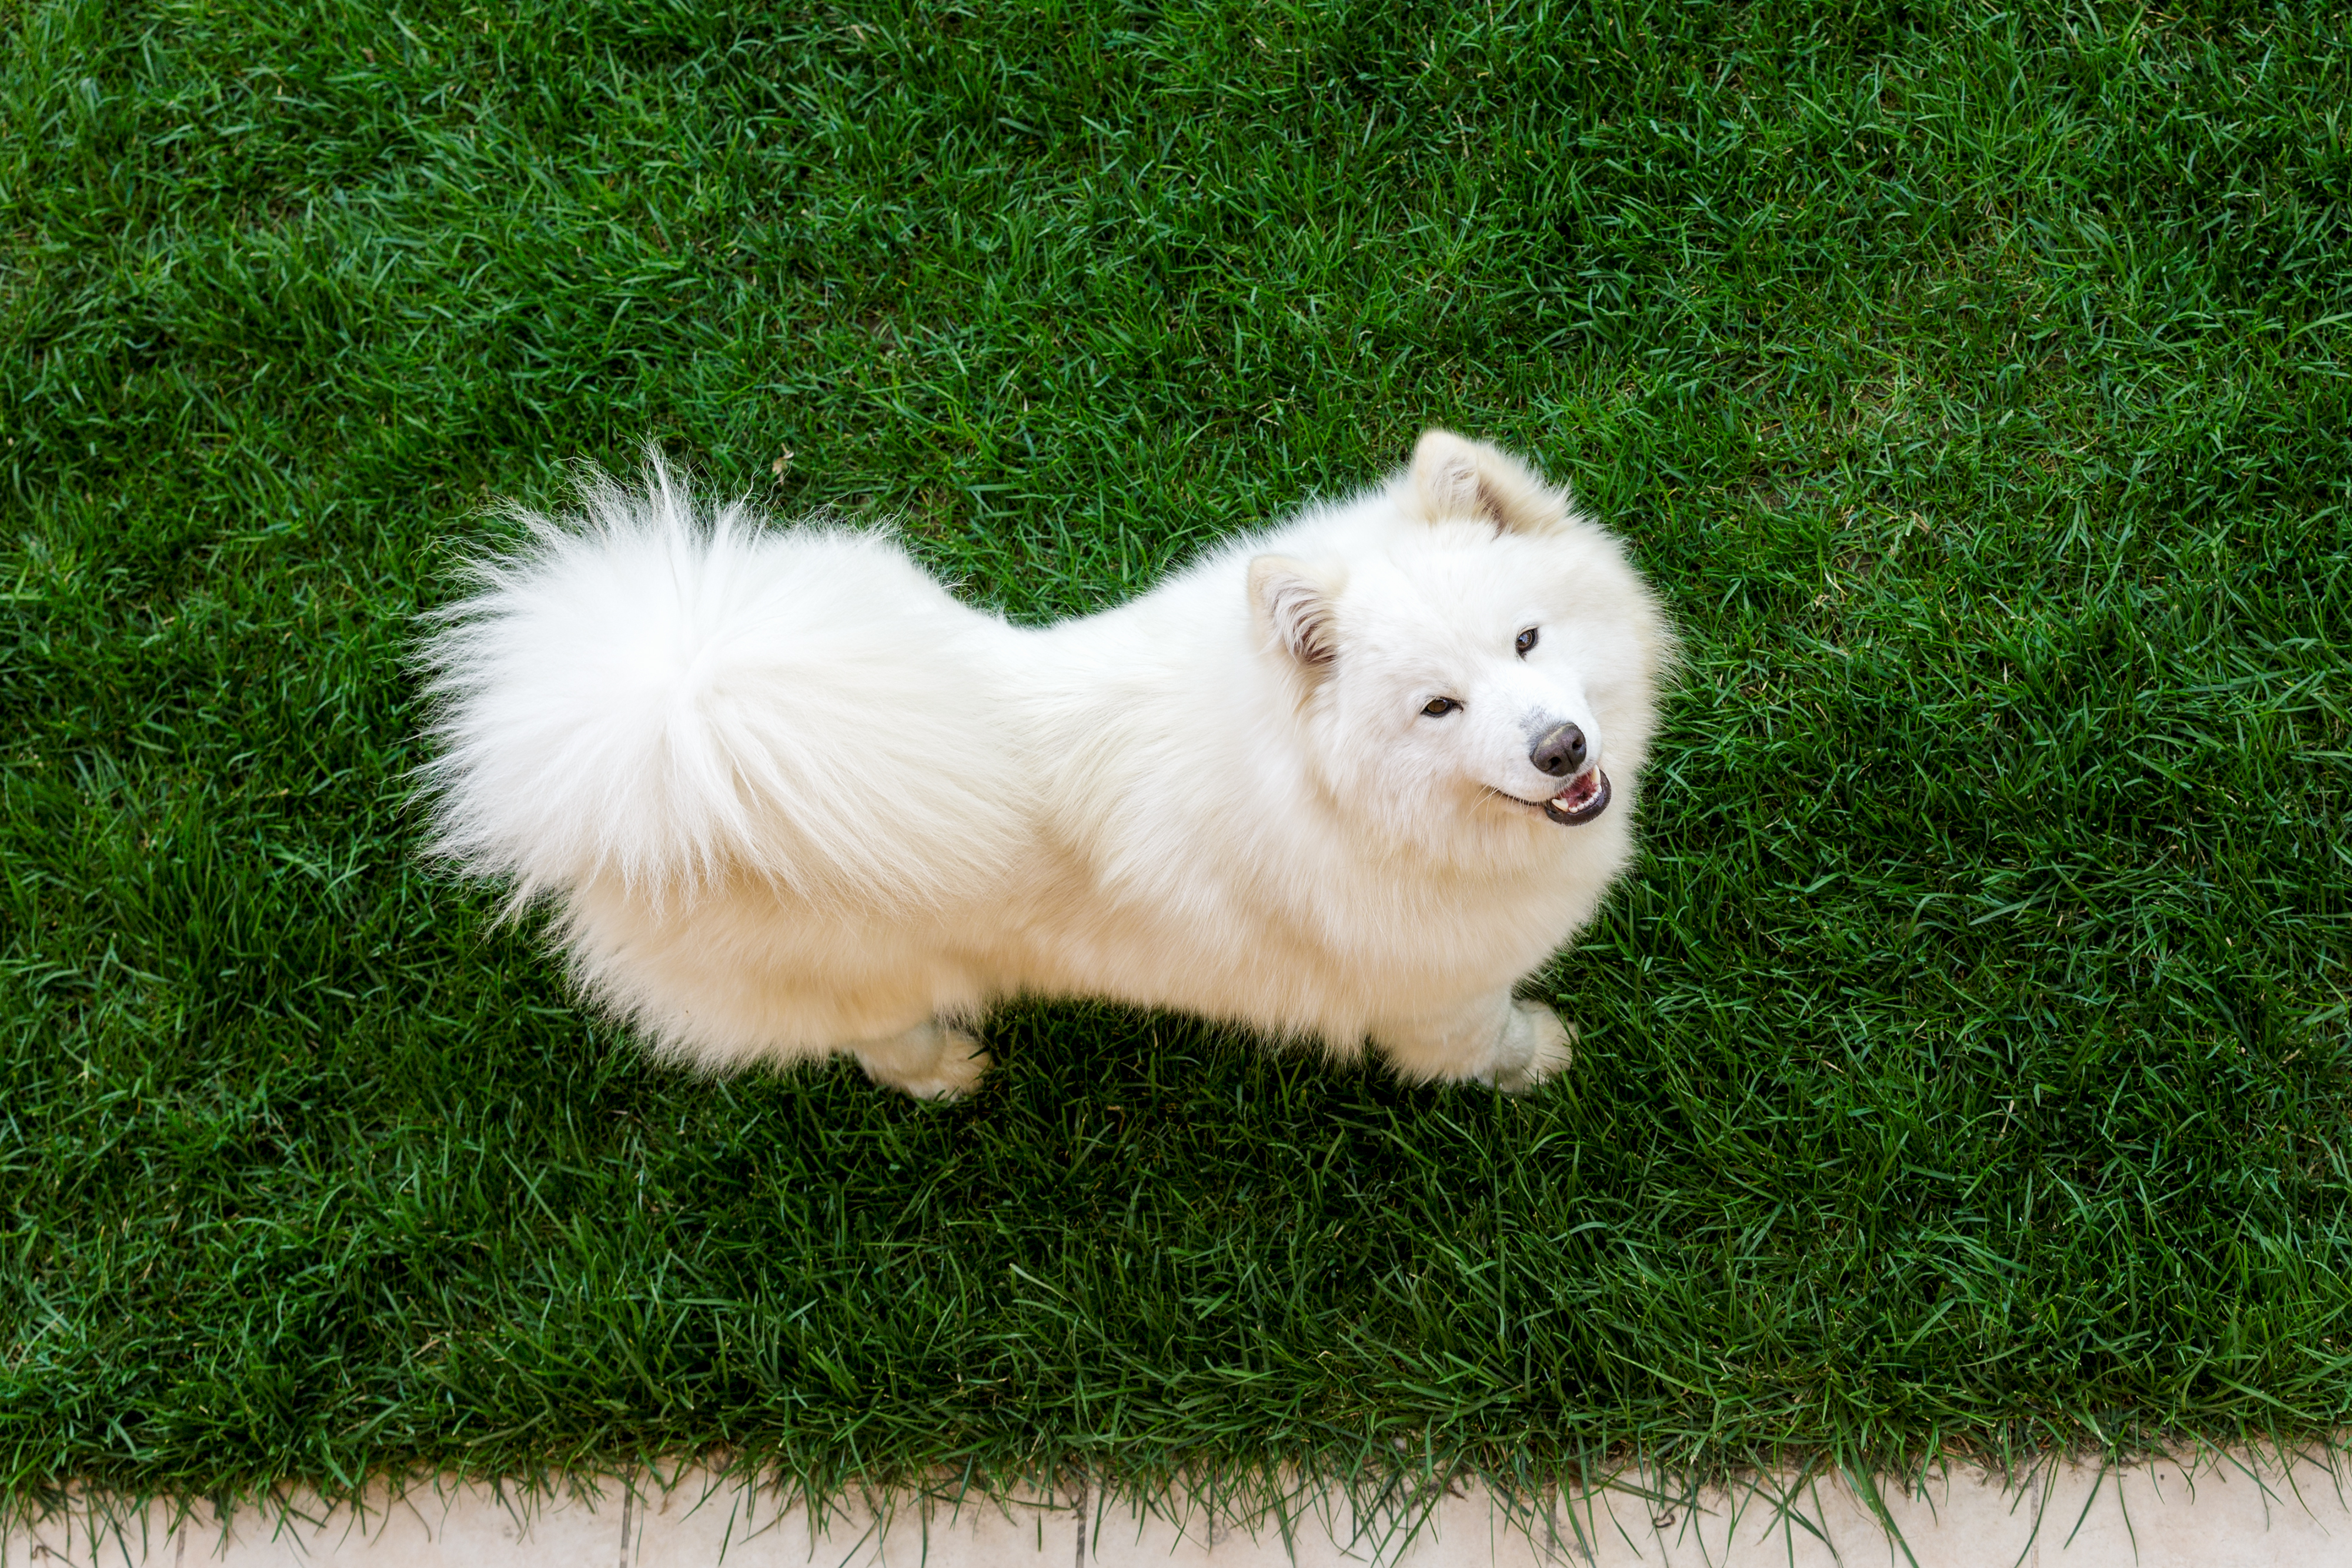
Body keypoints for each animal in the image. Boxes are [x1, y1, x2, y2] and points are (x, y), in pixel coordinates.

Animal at [423, 423, 1675, 1100]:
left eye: (1527, 640)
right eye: (1437, 707)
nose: (1560, 747)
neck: (1350, 805)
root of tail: (658, 724)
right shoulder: (1442, 990)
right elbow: (1480, 1039)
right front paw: (1536, 1057)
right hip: (866, 975)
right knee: (874, 1041)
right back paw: (942, 1072)